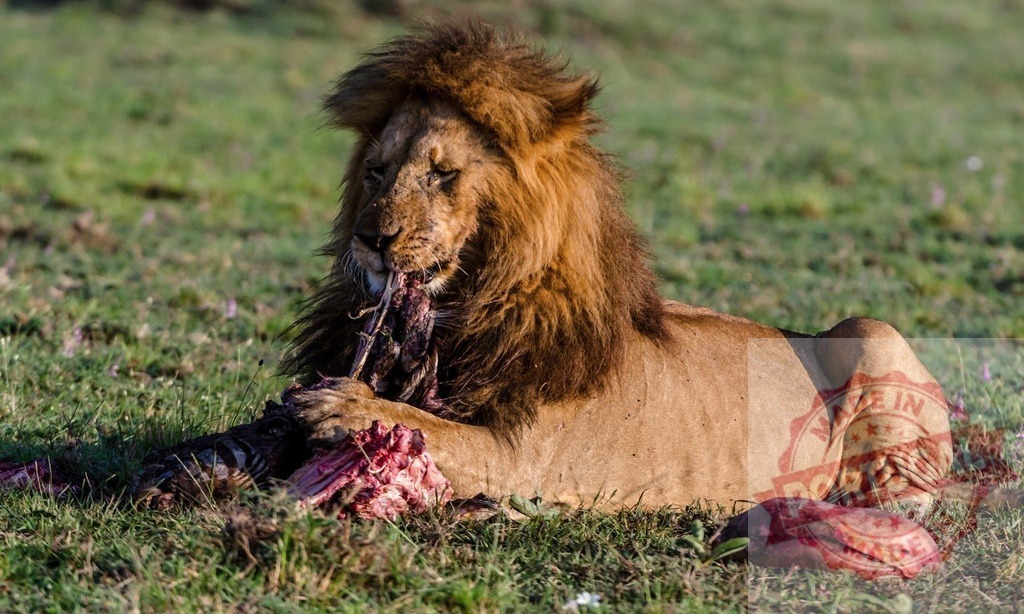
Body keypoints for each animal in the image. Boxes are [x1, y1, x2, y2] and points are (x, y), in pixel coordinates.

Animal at [279, 22, 955, 510]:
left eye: (444, 173)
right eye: (376, 172)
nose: (371, 238)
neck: (467, 306)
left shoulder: (518, 456)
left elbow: (428, 428)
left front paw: (342, 406)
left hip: (871, 331)